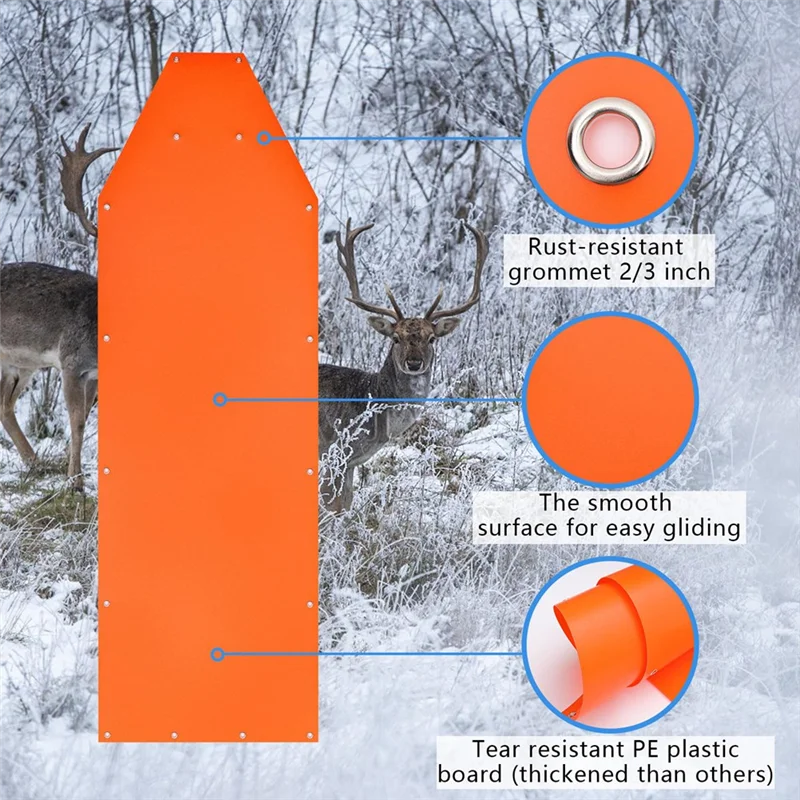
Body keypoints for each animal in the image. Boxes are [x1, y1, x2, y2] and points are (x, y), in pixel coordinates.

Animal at [0, 125, 116, 491]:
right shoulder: (71, 361)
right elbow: (77, 420)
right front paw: (75, 480)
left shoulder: (95, 372)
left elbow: (88, 417)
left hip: (21, 364)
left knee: (4, 405)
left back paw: (34, 462)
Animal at [318, 219, 488, 512]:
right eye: (395, 337)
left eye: (432, 338)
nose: (414, 362)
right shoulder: (334, 449)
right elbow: (332, 508)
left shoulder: (350, 462)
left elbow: (346, 503)